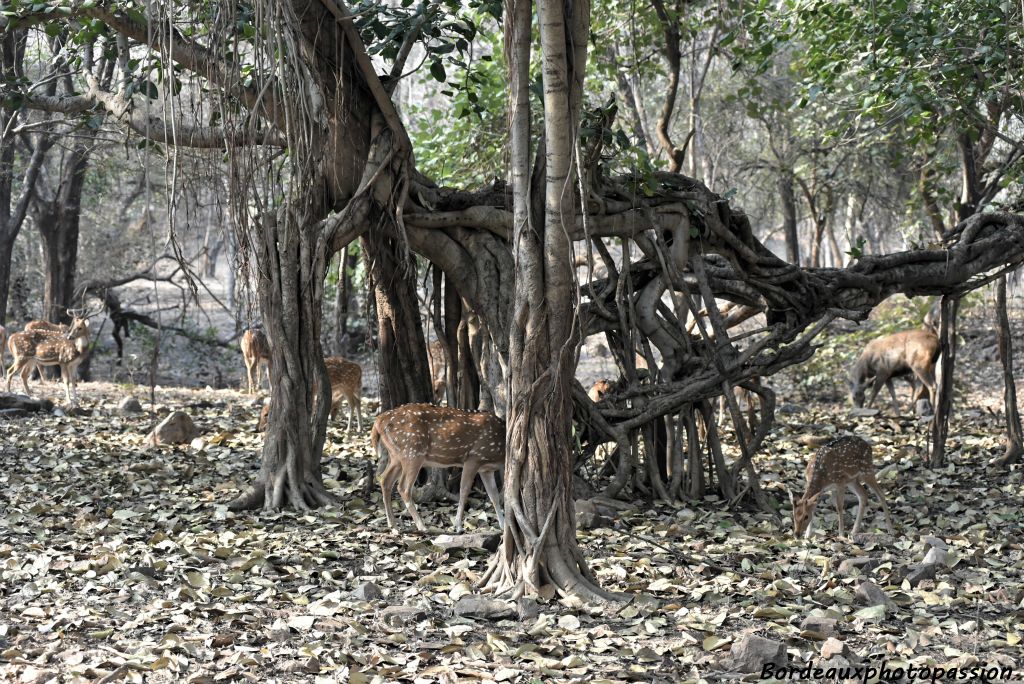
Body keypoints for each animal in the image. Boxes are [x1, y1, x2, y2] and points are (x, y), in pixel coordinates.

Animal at [374, 403, 505, 532]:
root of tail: (378, 421)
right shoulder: (473, 457)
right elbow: (464, 490)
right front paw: (458, 526)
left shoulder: (486, 469)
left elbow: (494, 495)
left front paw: (503, 525)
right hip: (412, 452)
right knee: (403, 487)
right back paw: (421, 526)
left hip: (396, 455)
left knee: (385, 480)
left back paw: (393, 524)